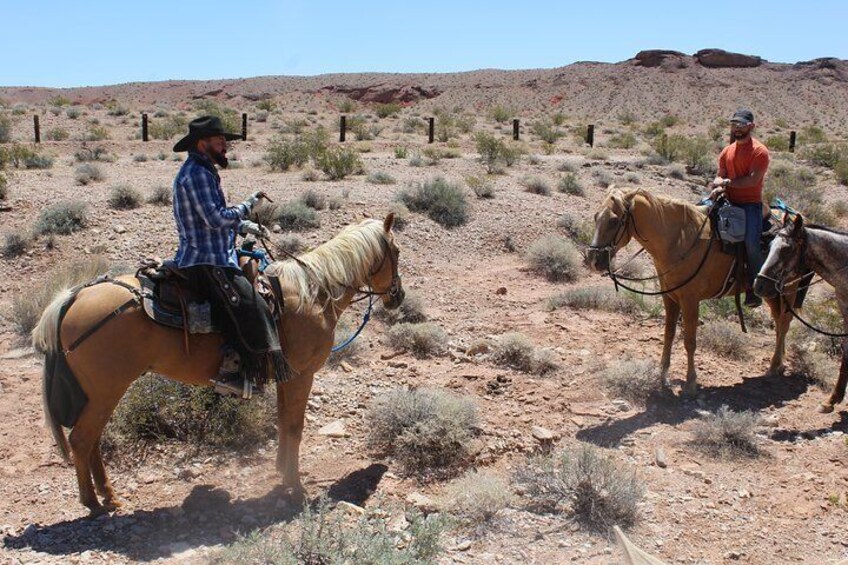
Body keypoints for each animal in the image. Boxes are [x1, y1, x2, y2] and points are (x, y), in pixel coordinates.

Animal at [33, 214, 404, 512]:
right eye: (397, 253)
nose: (398, 296)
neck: (314, 293)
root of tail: (73, 296)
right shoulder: (301, 375)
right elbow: (294, 427)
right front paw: (295, 488)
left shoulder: (286, 378)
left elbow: (283, 422)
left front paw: (281, 474)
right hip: (107, 390)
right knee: (82, 440)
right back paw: (93, 503)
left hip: (100, 395)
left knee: (92, 440)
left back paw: (108, 496)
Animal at [588, 188, 800, 396]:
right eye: (596, 217)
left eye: (614, 220)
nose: (594, 260)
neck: (678, 241)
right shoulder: (669, 297)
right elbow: (669, 333)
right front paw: (662, 375)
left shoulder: (690, 300)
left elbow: (689, 341)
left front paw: (690, 383)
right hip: (771, 293)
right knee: (779, 322)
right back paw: (780, 363)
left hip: (787, 290)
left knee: (784, 322)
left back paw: (774, 366)